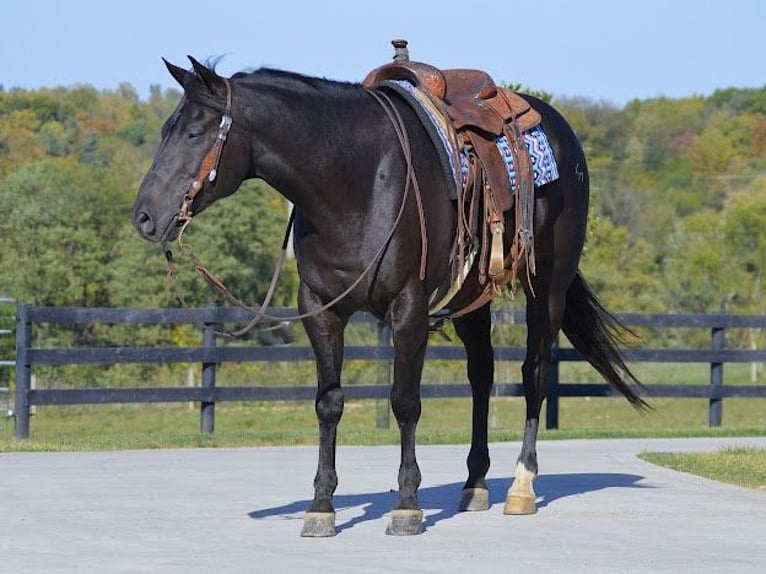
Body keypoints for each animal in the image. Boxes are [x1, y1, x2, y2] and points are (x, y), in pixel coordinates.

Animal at [132, 56, 648, 536]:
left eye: (195, 133)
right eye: (166, 130)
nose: (144, 217)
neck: (356, 182)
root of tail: (559, 127)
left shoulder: (408, 310)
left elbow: (404, 402)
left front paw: (407, 505)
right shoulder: (319, 310)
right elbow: (329, 403)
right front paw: (321, 507)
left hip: (548, 288)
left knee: (534, 373)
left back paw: (521, 487)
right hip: (471, 299)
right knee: (481, 377)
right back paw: (475, 484)